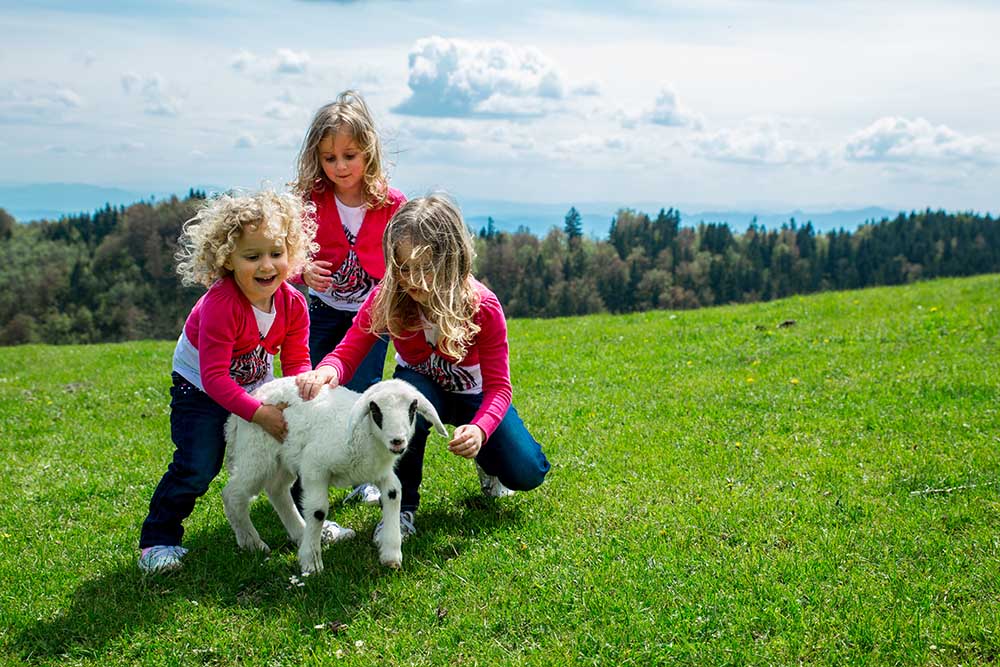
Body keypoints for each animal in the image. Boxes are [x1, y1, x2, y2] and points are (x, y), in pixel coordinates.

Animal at [227, 376, 450, 576]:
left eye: (412, 409)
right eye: (375, 410)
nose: (397, 441)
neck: (365, 434)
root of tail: (256, 394)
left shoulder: (380, 472)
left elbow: (394, 493)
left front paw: (391, 554)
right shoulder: (314, 466)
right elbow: (318, 511)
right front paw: (311, 563)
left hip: (283, 459)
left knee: (277, 490)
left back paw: (299, 533)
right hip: (257, 454)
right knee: (233, 494)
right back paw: (252, 543)